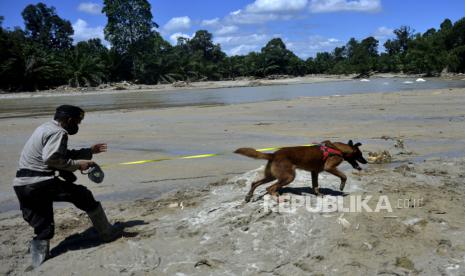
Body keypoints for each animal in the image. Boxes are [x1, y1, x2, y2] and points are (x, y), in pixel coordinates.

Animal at [234, 141, 368, 202]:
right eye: (360, 155)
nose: (366, 162)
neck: (338, 148)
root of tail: (273, 154)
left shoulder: (314, 172)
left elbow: (315, 186)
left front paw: (318, 195)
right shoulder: (329, 167)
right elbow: (344, 176)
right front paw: (341, 187)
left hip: (273, 176)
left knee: (255, 183)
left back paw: (248, 196)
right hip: (288, 177)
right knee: (270, 188)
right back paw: (279, 198)